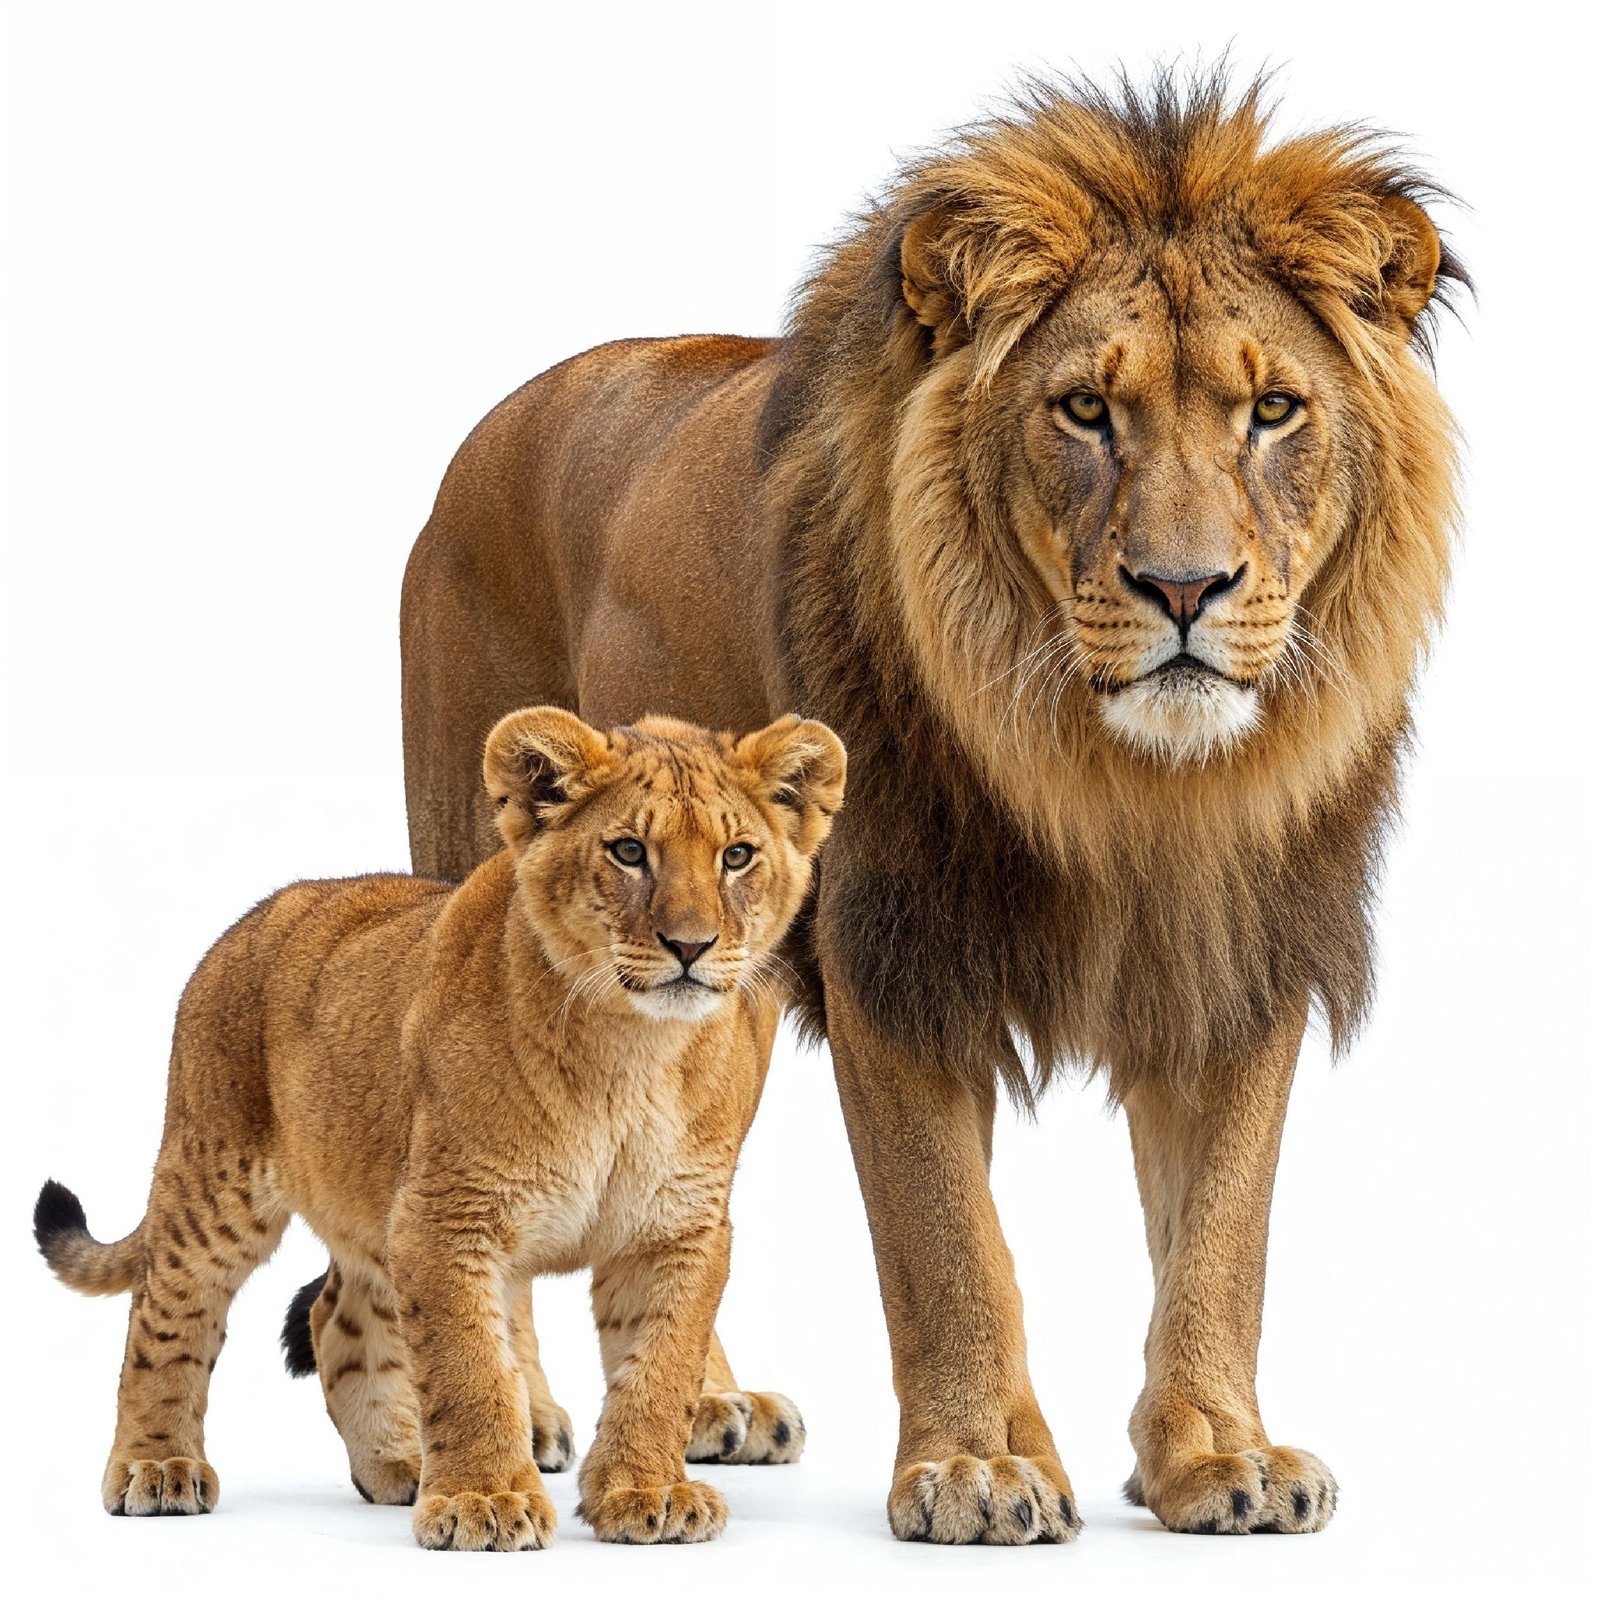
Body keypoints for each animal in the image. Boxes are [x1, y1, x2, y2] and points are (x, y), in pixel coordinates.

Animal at [33, 707, 845, 1549]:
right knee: (166, 1311)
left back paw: (396, 1462)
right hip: (215, 1177)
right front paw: (483, 1501)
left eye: (737, 856)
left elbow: (659, 1363)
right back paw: (157, 1465)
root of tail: (258, 913)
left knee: (337, 1316)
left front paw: (645, 1491)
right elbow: (469, 1367)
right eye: (628, 851)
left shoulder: (679, 1226)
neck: (633, 1052)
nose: (691, 946)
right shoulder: (447, 1216)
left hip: (371, 1201)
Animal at [397, 70, 1462, 1542]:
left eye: (1272, 412)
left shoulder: (1245, 954)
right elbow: (946, 1240)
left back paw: (695, 1406)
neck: (1131, 790)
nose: (1183, 588)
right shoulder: (897, 952)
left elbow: (1221, 1234)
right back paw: (528, 1422)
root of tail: (485, 429)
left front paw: (1218, 1457)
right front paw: (975, 1468)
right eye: (1083, 411)